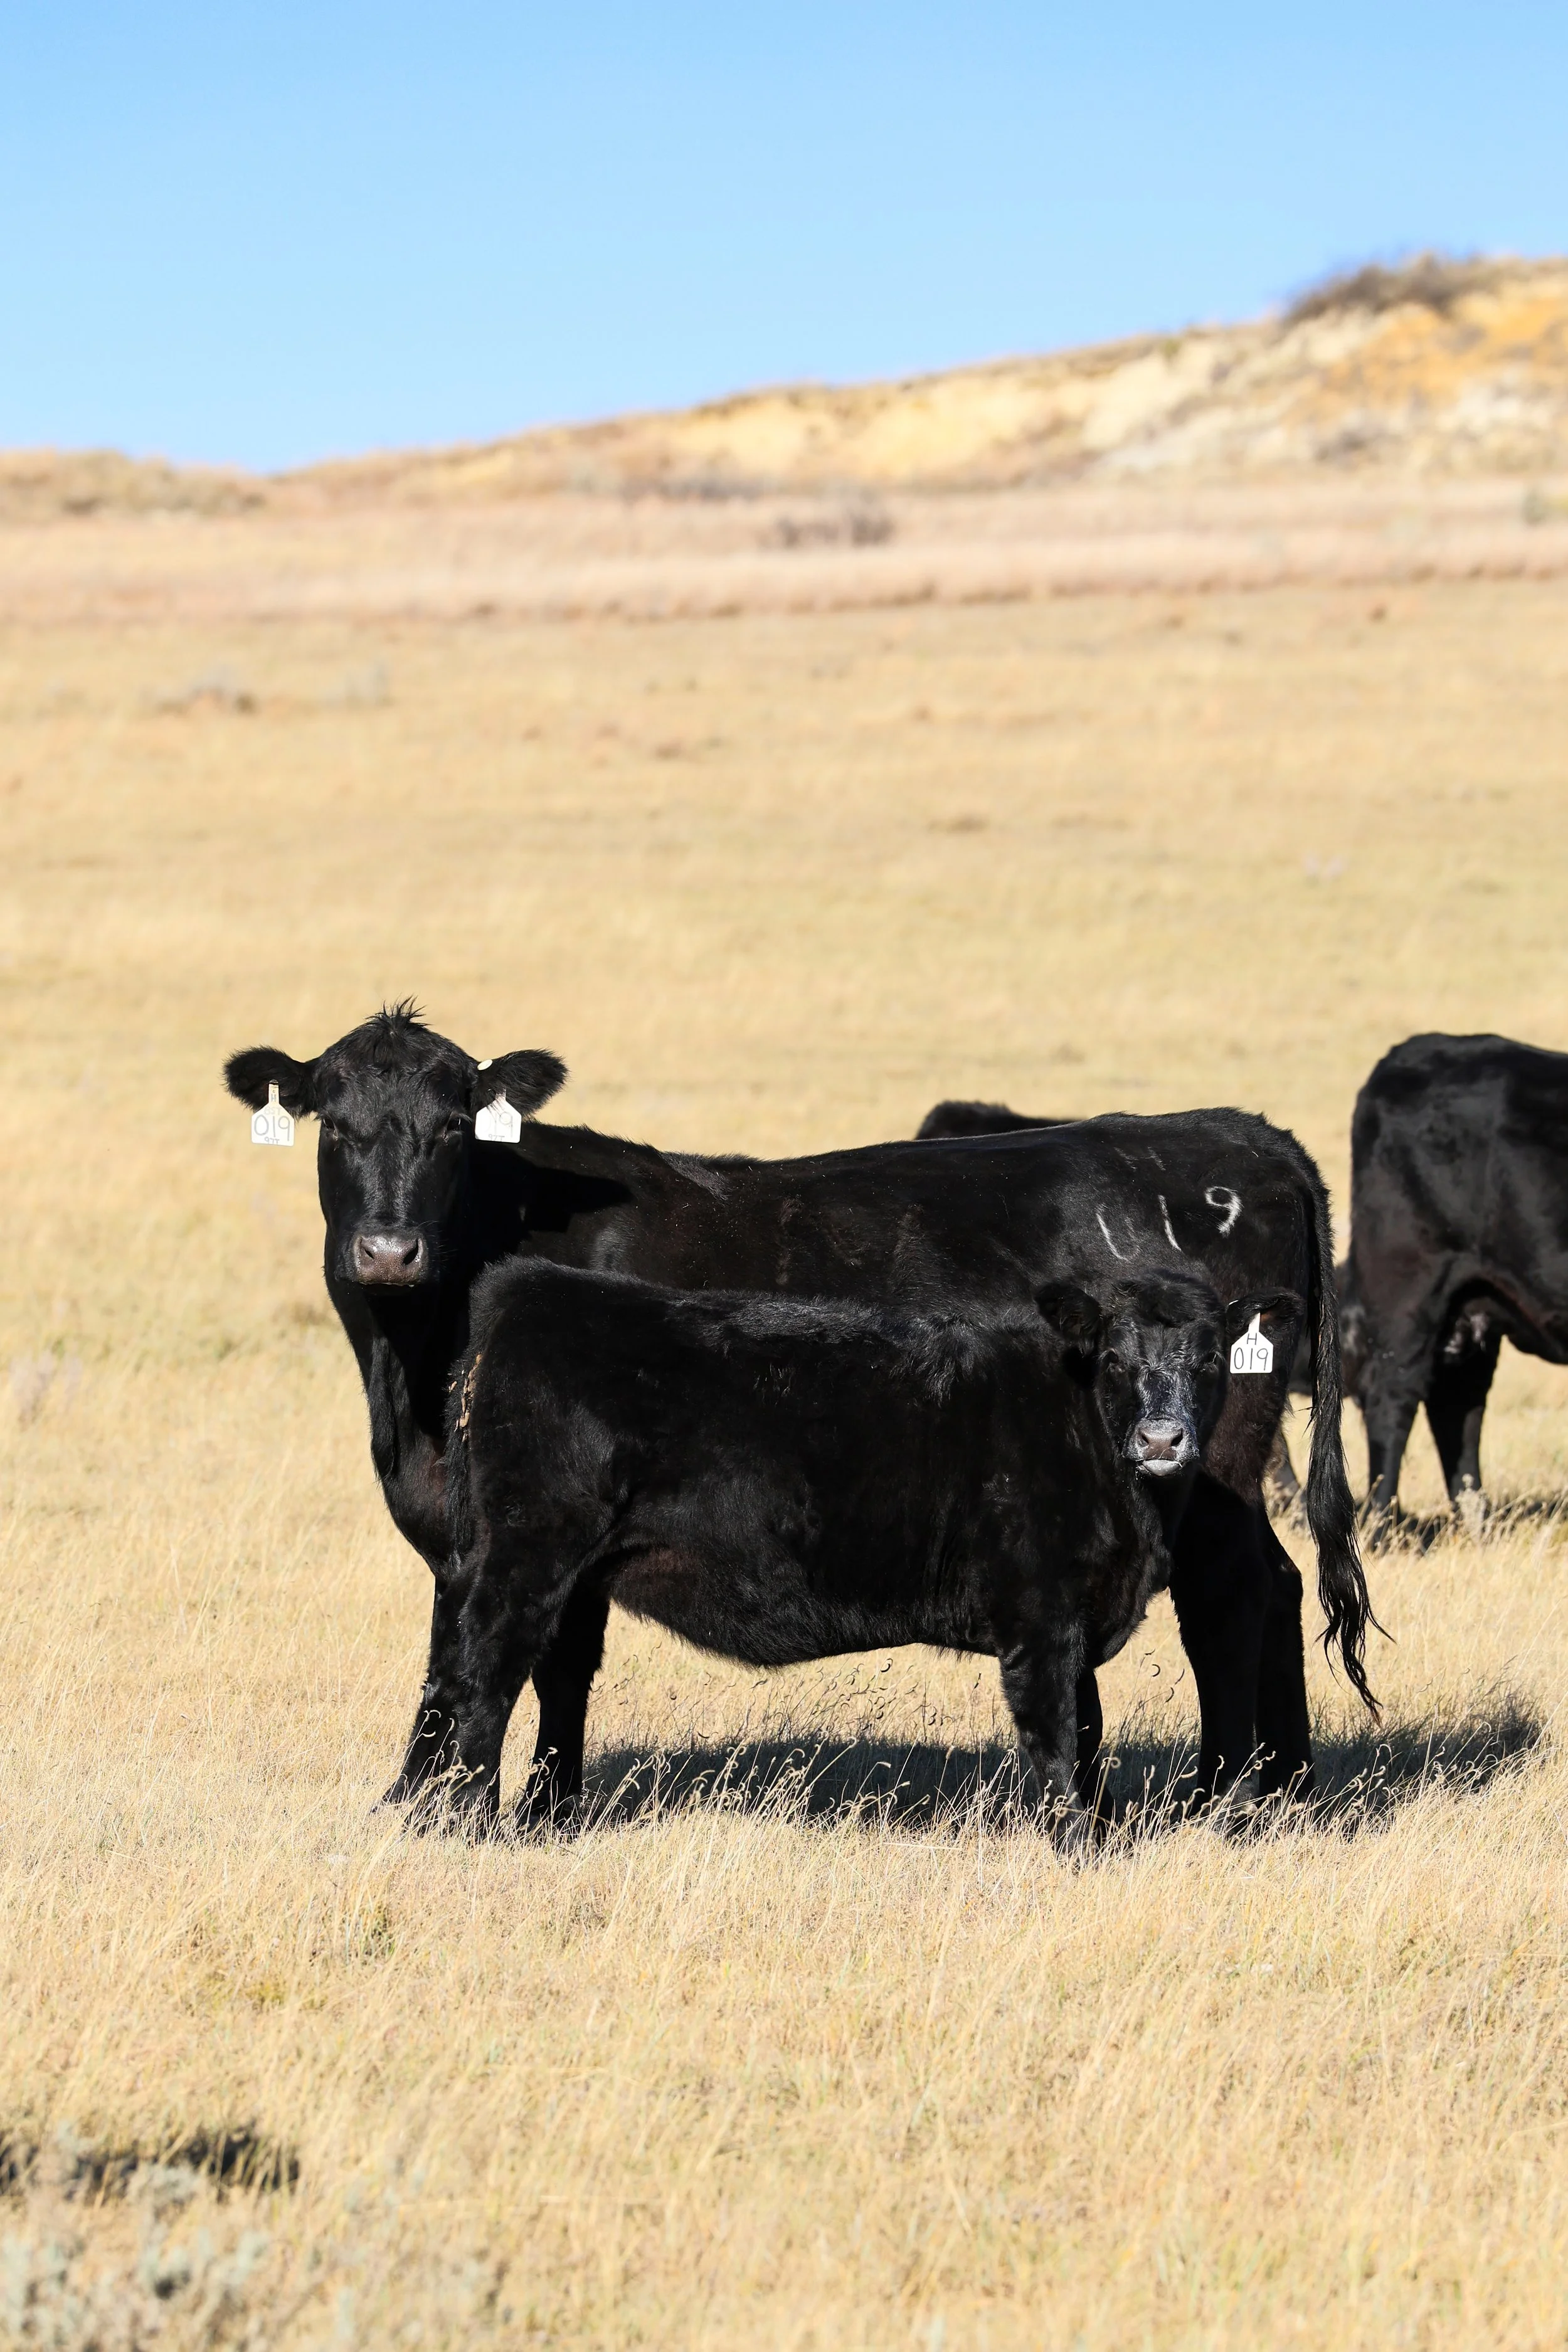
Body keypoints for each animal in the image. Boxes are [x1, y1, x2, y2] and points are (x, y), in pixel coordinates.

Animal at [391, 1261, 1270, 1838]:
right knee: (484, 1676)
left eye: (1208, 1357)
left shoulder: (1074, 1618)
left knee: (532, 1679)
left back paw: (532, 1817)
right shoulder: (1040, 1614)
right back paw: (469, 1821)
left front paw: (1106, 1834)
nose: (1162, 1439)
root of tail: (530, 1288)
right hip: (527, 1555)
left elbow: (1088, 1734)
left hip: (560, 1574)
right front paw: (1073, 1843)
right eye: (1115, 1358)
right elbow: (1055, 1736)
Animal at [1348, 1032, 1568, 1519]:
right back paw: (1379, 1522)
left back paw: (1478, 1522)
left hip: (1472, 1304)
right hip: (1409, 1290)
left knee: (1457, 1409)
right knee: (1392, 1400)